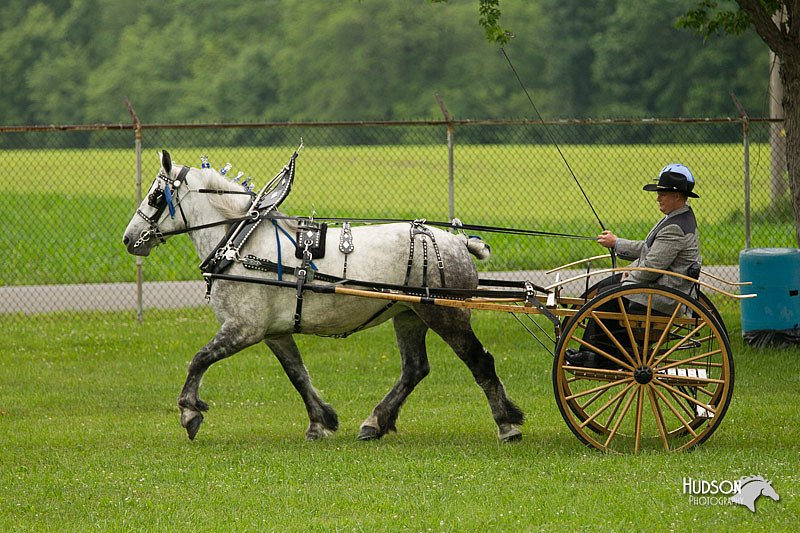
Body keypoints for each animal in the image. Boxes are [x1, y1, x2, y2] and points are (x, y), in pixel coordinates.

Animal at [120, 150, 524, 440]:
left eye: (155, 196)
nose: (128, 238)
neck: (241, 244)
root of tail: (458, 242)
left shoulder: (243, 328)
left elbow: (199, 360)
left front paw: (189, 411)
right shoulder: (275, 332)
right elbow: (298, 374)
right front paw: (321, 421)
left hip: (447, 316)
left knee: (480, 362)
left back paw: (507, 424)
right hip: (409, 315)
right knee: (414, 369)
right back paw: (375, 422)